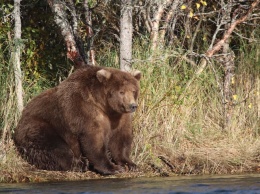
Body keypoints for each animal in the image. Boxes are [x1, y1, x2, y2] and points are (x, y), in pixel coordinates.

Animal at [13, 65, 141, 176]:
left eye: (133, 91)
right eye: (121, 91)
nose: (133, 105)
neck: (104, 106)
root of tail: (20, 121)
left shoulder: (119, 117)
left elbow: (120, 139)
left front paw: (130, 164)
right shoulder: (84, 110)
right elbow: (93, 140)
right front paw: (113, 168)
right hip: (41, 126)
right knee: (54, 147)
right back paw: (81, 164)